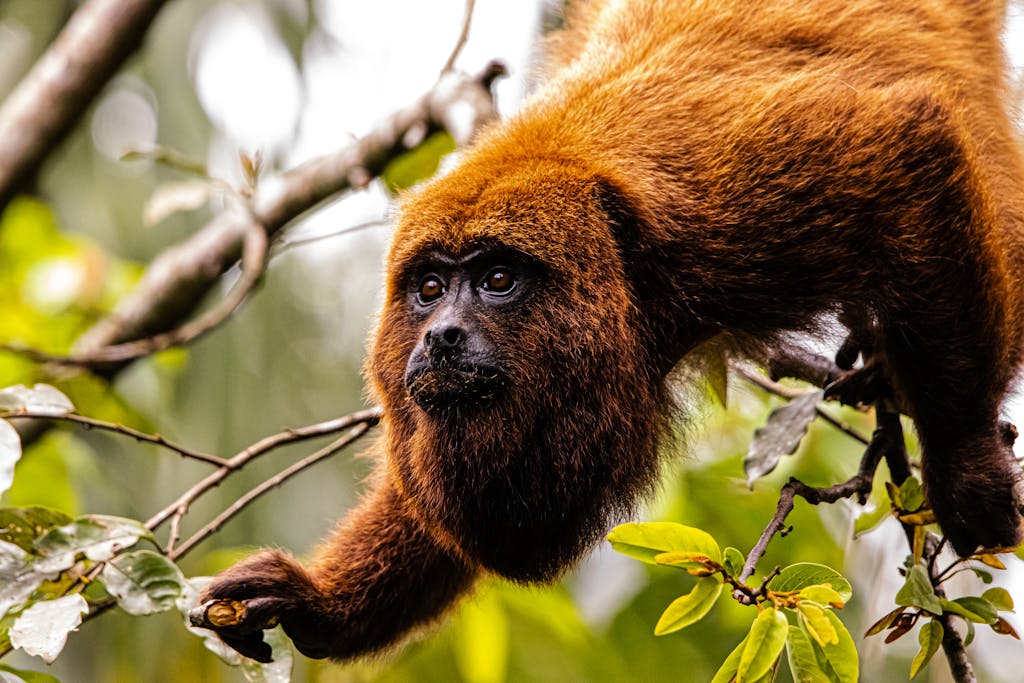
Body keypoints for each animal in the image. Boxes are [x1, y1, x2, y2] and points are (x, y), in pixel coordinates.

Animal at [195, 0, 1024, 663]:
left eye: (498, 280)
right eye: (429, 290)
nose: (442, 337)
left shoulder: (727, 209)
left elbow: (909, 141)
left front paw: (965, 460)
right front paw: (319, 602)